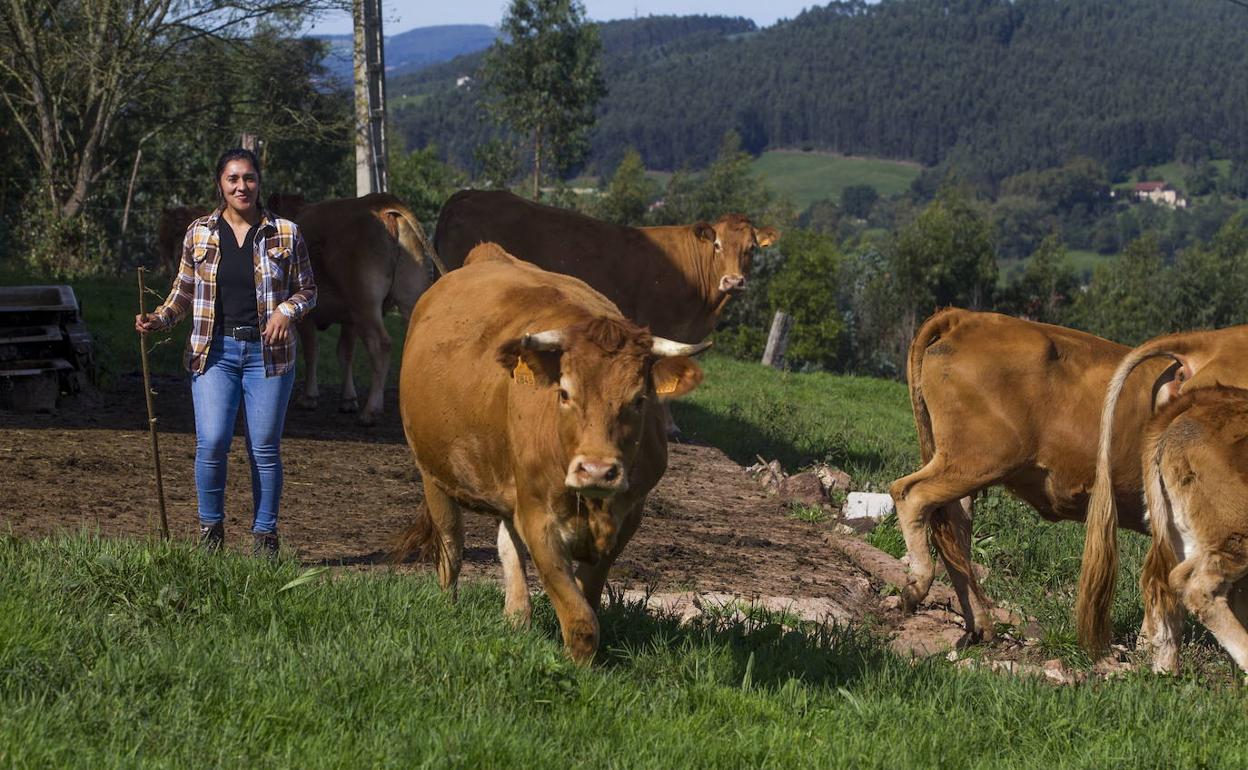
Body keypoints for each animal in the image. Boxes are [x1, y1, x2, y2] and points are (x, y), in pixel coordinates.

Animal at [292, 189, 449, 424]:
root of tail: (378, 202)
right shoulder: (349, 317)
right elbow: (345, 352)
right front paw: (348, 399)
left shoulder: (308, 314)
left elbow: (312, 350)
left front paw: (309, 397)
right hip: (409, 294)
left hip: (365, 303)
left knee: (380, 345)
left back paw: (371, 410)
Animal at [394, 244, 708, 658]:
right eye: (565, 393)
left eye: (639, 400)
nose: (596, 470)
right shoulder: (538, 519)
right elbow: (580, 620)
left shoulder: (626, 519)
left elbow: (587, 597)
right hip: (434, 474)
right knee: (450, 549)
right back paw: (450, 606)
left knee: (506, 543)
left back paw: (517, 619)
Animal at [888, 304, 1168, 636]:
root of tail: (966, 316)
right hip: (981, 457)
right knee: (910, 494)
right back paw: (918, 585)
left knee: (954, 533)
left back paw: (980, 624)